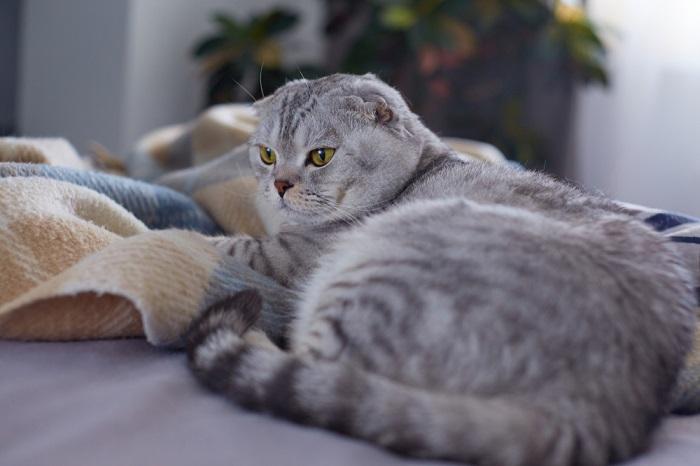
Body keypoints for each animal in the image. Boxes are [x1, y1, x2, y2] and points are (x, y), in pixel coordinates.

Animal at [183, 73, 696, 466]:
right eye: (266, 154)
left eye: (321, 156)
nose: (280, 185)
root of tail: (600, 408)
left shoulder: (285, 255)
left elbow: (227, 243)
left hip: (378, 277)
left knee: (304, 359)